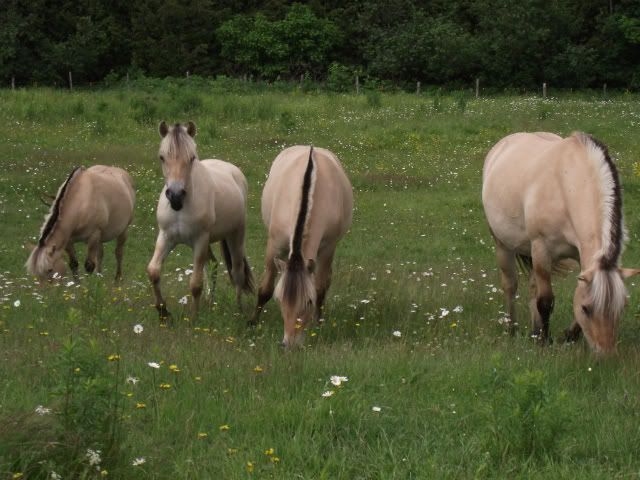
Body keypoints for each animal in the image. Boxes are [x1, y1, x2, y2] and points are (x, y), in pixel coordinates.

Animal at [146, 122, 254, 320]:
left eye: (191, 158)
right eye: (162, 157)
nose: (175, 196)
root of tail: (234, 171)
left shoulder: (200, 240)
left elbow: (196, 283)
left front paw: (194, 318)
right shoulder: (166, 237)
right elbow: (154, 271)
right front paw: (163, 312)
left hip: (235, 235)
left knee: (237, 271)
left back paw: (238, 308)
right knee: (213, 265)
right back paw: (210, 302)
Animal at [250, 144, 352, 346]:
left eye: (308, 302)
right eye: (280, 300)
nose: (289, 344)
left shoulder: (328, 248)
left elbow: (320, 289)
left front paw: (318, 325)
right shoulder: (275, 245)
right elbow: (266, 288)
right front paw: (253, 322)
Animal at [482, 131, 636, 352]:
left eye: (621, 308)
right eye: (586, 309)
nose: (606, 354)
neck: (567, 186)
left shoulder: (580, 256)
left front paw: (566, 336)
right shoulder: (541, 249)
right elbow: (545, 301)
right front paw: (545, 341)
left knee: (532, 287)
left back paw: (534, 331)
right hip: (503, 245)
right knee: (510, 285)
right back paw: (513, 329)